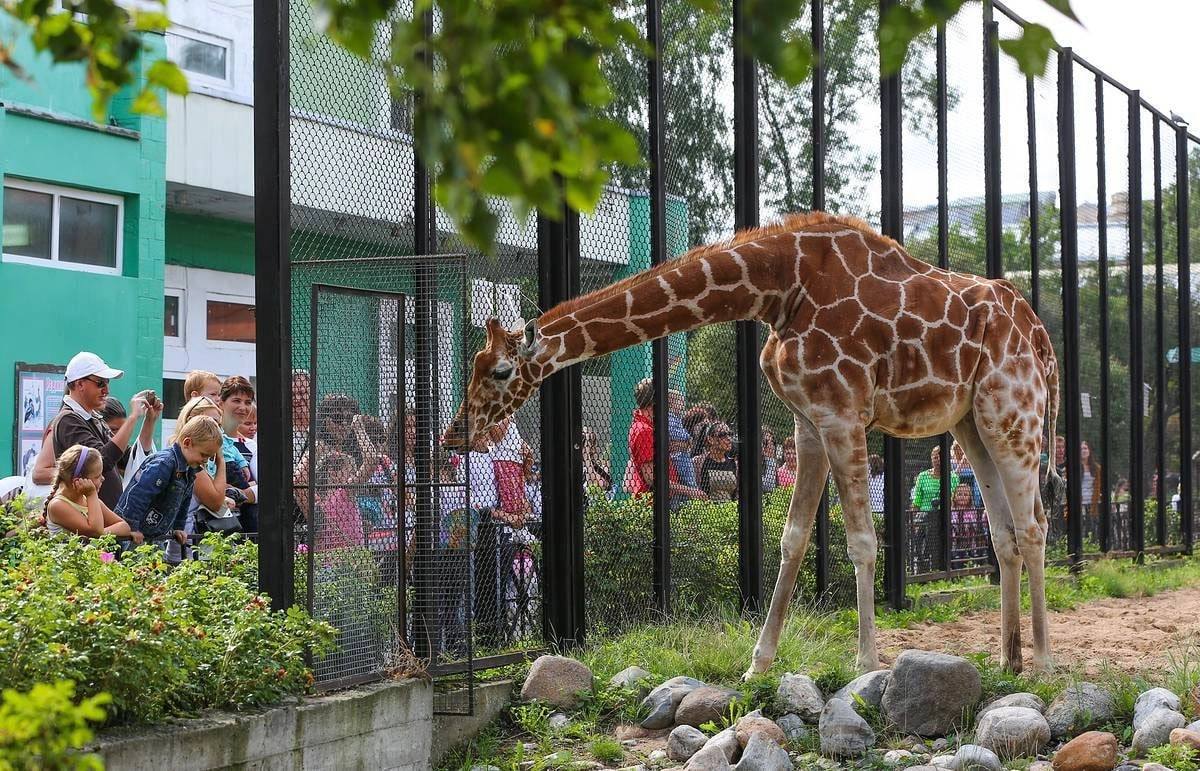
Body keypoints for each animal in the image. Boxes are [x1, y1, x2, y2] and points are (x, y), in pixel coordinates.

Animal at [448, 210, 1060, 672]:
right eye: (474, 363)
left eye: (500, 371)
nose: (458, 433)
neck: (780, 285)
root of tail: (1039, 336)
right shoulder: (808, 422)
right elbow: (790, 539)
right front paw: (757, 664)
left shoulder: (843, 413)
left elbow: (862, 541)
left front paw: (865, 664)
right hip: (971, 423)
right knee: (1004, 531)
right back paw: (1007, 661)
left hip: (1014, 413)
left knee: (1035, 525)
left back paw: (1044, 663)